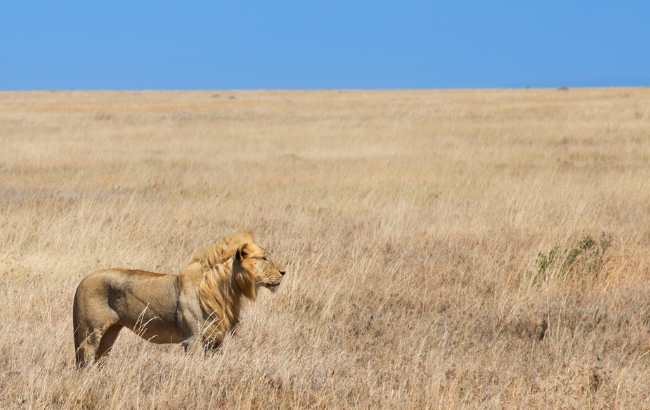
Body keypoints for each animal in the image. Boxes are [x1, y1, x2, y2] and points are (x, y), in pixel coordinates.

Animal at [72, 231, 285, 368]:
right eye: (265, 258)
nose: (284, 272)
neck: (226, 289)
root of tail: (82, 281)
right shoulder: (192, 339)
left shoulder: (214, 340)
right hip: (89, 334)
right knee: (85, 364)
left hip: (109, 334)